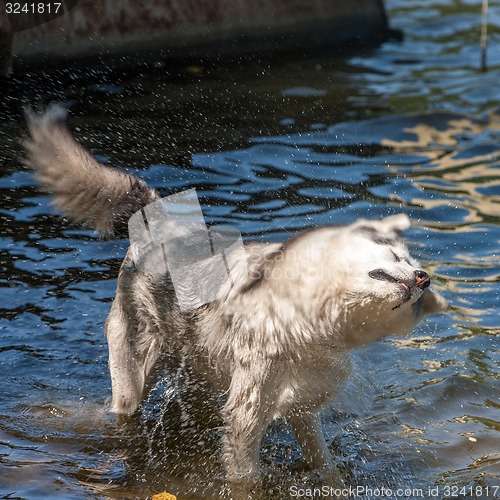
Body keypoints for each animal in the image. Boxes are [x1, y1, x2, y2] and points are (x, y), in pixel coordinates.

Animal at [23, 107, 448, 486]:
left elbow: (324, 466)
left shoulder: (301, 409)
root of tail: (159, 223)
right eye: (398, 257)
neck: (309, 320)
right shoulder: (247, 414)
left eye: (416, 295)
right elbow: (246, 480)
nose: (424, 279)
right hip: (133, 381)